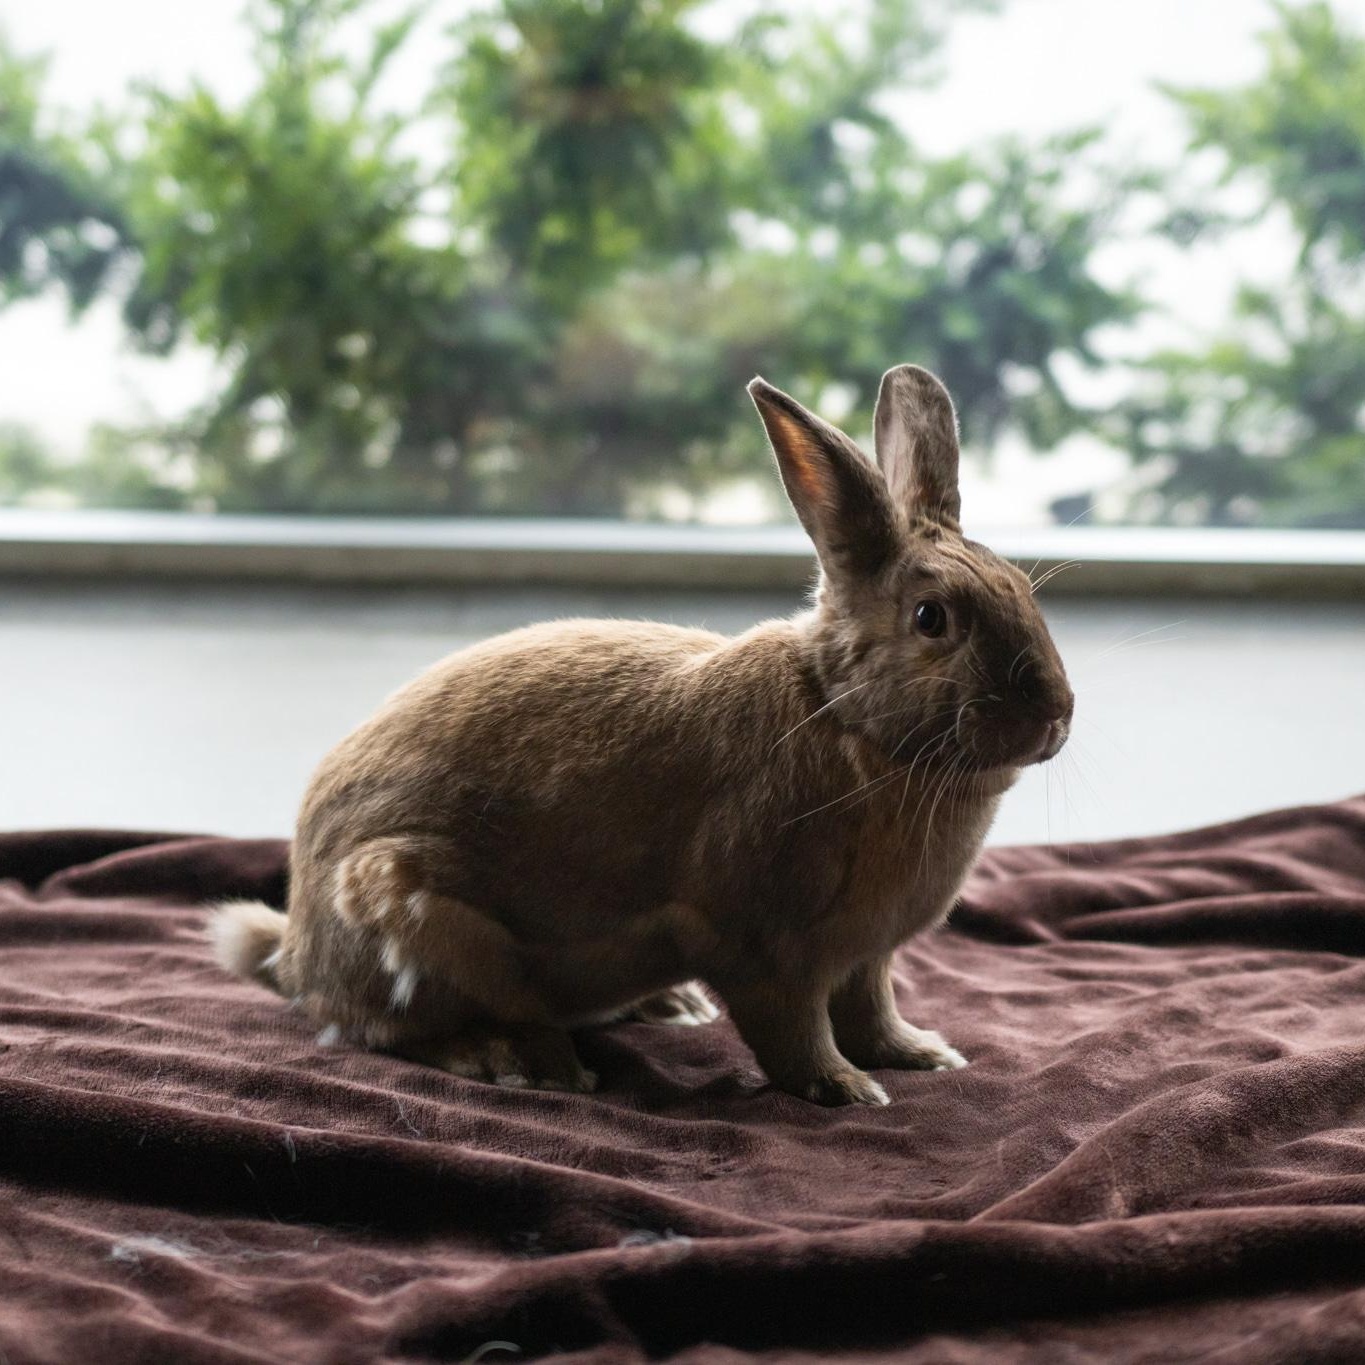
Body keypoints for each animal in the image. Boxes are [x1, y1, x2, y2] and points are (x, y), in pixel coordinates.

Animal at [211, 364, 1073, 1106]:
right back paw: (526, 1060)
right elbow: (794, 1032)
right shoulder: (763, 948)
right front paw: (845, 1088)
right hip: (409, 915)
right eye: (931, 619)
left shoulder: (866, 957)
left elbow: (871, 1010)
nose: (1056, 716)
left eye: (1023, 591)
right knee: (384, 1030)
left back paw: (667, 1008)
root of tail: (296, 951)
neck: (838, 709)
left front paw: (921, 1053)